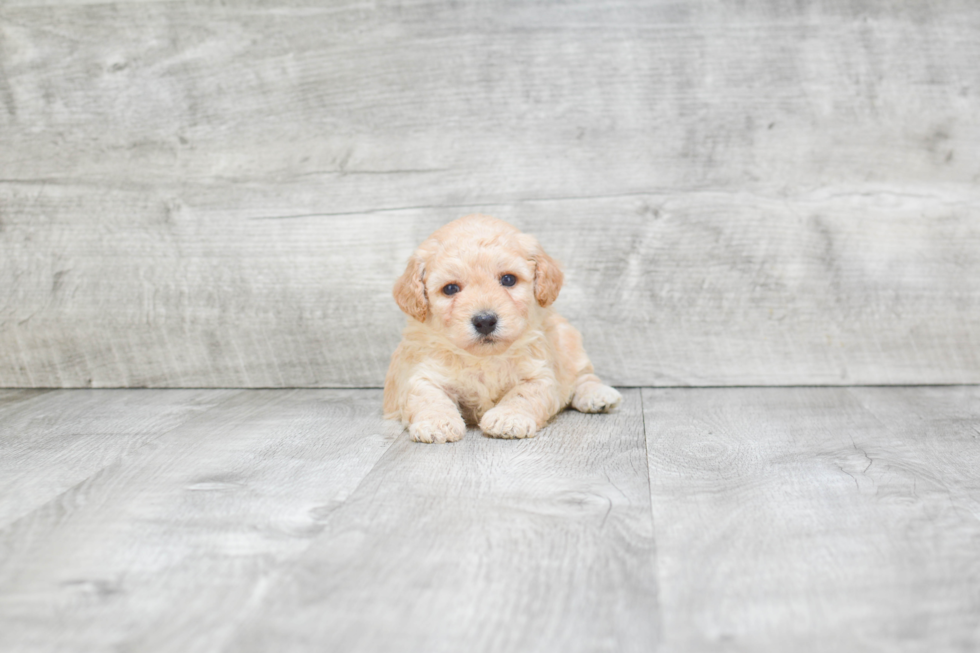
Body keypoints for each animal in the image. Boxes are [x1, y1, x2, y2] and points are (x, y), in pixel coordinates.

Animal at [382, 214, 620, 444]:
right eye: (450, 289)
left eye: (508, 279)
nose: (485, 321)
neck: (484, 358)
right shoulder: (422, 373)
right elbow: (428, 397)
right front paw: (437, 423)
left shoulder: (539, 373)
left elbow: (523, 394)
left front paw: (508, 418)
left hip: (569, 342)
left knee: (583, 376)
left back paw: (597, 395)